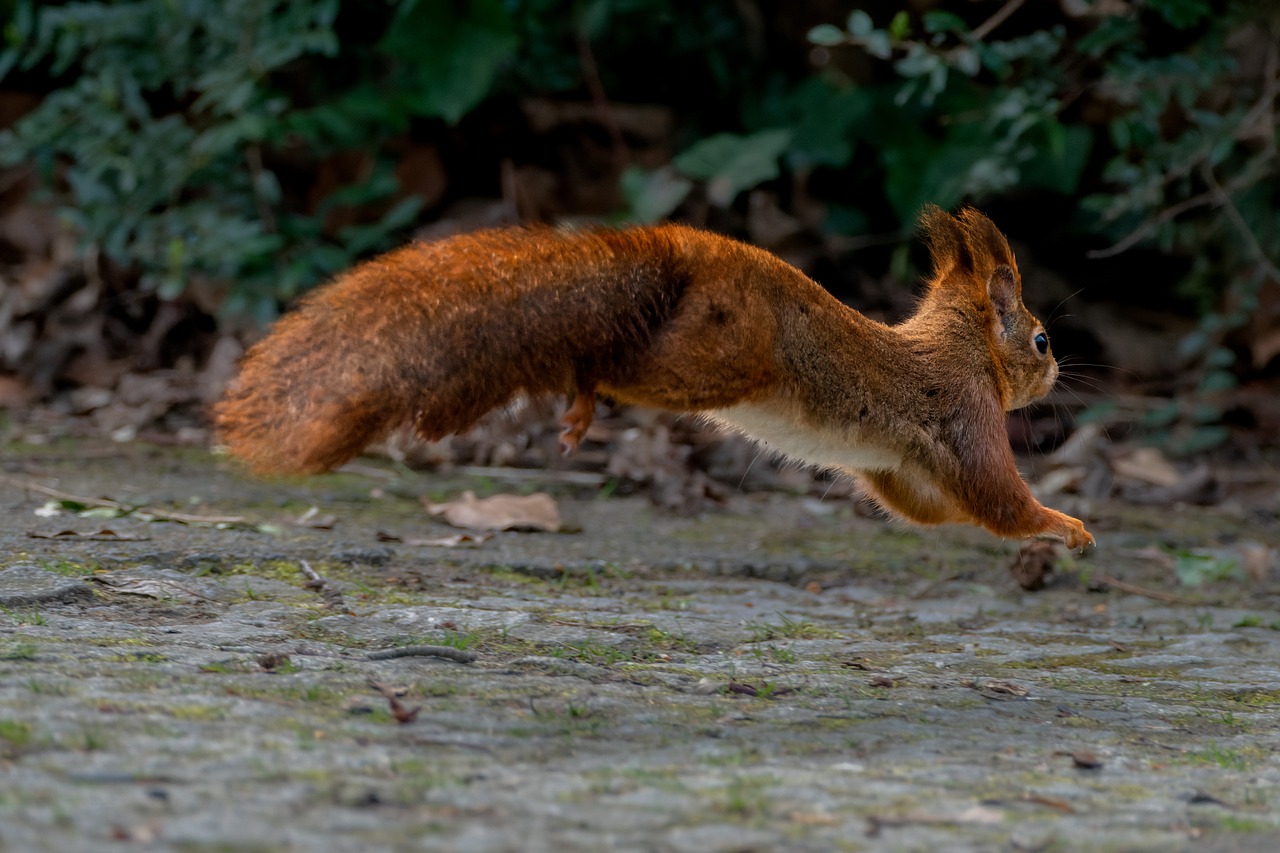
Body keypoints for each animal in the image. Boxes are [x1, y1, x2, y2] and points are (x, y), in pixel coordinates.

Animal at [215, 206, 1095, 550]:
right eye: (1043, 339)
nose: (1057, 377)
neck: (958, 343)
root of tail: (679, 250)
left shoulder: (895, 463)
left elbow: (933, 507)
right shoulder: (969, 408)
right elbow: (997, 496)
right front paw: (1064, 525)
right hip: (719, 357)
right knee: (618, 363)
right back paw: (582, 395)